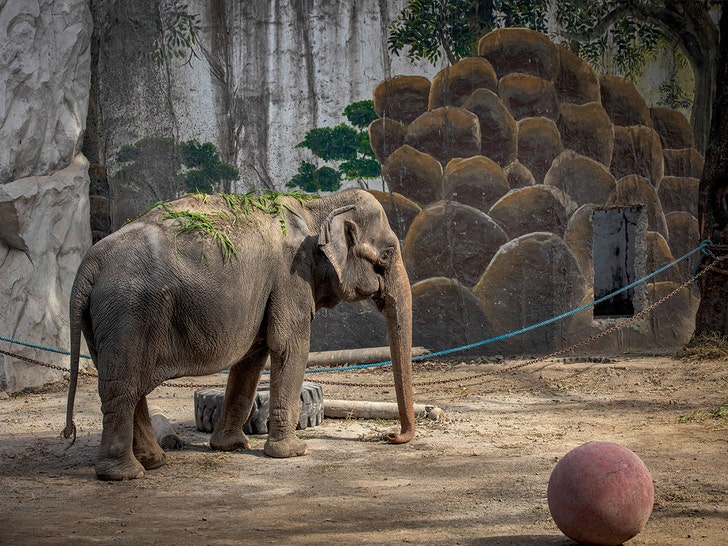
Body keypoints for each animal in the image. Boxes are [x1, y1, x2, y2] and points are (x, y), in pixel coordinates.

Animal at [62, 189, 416, 478]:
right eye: (387, 255)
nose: (391, 436)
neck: (317, 204)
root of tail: (88, 264)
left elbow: (252, 358)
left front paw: (231, 446)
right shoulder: (290, 275)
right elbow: (290, 347)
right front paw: (293, 453)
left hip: (107, 320)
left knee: (125, 384)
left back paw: (153, 462)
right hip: (129, 312)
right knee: (122, 388)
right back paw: (125, 474)